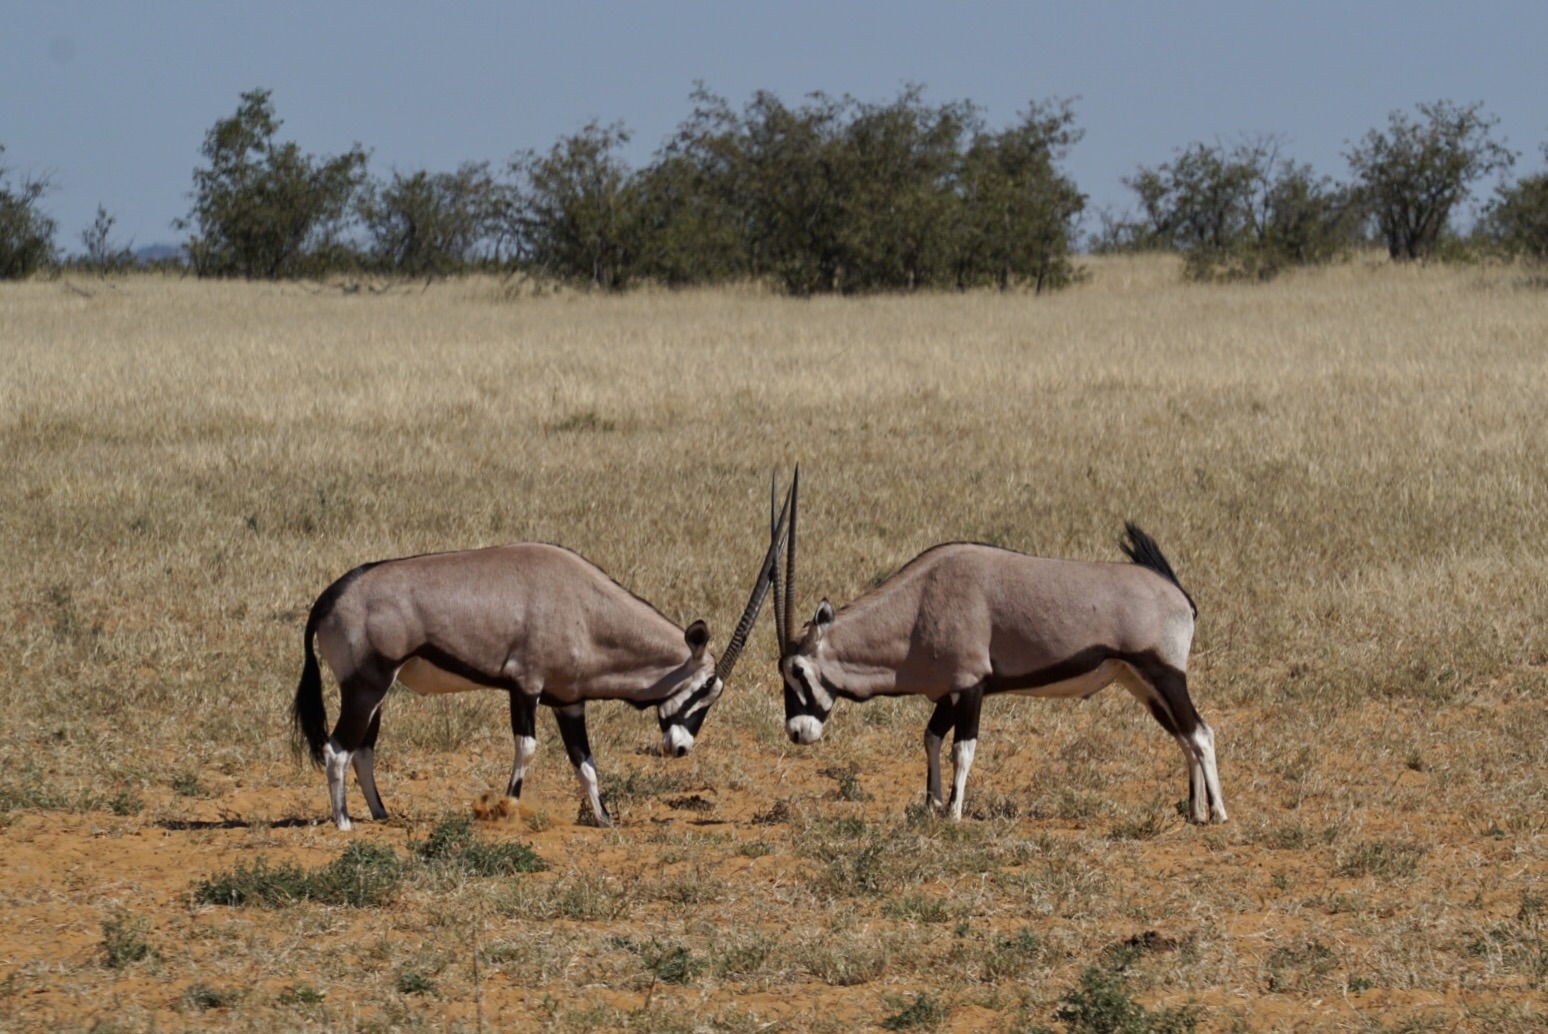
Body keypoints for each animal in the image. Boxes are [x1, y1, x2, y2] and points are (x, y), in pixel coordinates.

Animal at [291, 489, 792, 829]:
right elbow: (527, 748)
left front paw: (604, 819)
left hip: (376, 692)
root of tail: (329, 597)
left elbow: (585, 763)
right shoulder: (524, 688)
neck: (585, 608)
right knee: (337, 748)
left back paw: (381, 813)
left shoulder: (569, 703)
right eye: (705, 688)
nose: (681, 747)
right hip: (366, 686)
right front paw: (508, 808)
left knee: (362, 750)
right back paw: (343, 821)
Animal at [767, 473, 1226, 823]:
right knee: (1183, 736)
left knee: (1200, 733)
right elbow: (931, 737)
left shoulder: (971, 688)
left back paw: (1218, 814)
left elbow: (962, 749)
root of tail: (1175, 590)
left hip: (1166, 675)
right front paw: (931, 804)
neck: (919, 604)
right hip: (1141, 683)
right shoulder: (948, 692)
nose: (796, 732)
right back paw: (1194, 811)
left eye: (798, 670)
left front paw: (953, 813)